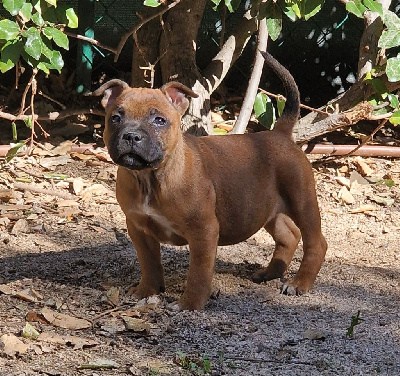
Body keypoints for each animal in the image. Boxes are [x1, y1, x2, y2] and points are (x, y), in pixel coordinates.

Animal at [94, 53, 328, 312]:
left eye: (159, 120)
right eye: (115, 118)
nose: (132, 135)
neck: (151, 177)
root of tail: (280, 133)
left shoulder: (203, 231)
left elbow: (198, 273)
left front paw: (189, 304)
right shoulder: (139, 228)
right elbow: (149, 263)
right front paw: (147, 290)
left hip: (302, 201)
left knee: (316, 243)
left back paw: (299, 283)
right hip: (265, 208)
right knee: (289, 236)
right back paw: (270, 273)